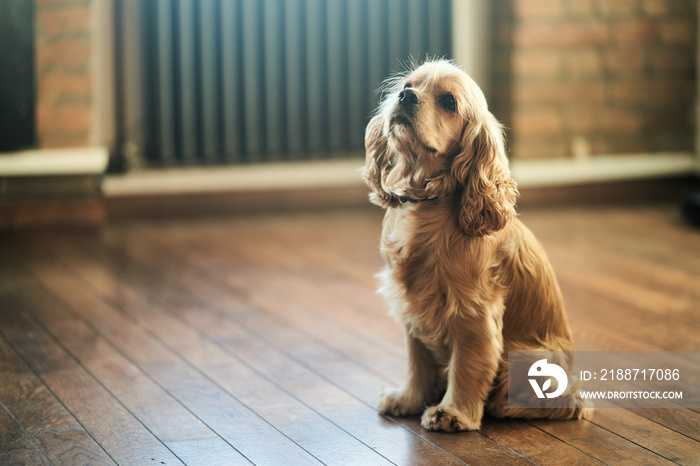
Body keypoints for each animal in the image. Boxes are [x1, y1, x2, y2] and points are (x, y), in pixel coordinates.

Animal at [360, 60, 592, 432]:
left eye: (449, 102)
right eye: (408, 85)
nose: (405, 97)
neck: (428, 204)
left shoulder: (473, 313)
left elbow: (466, 367)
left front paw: (452, 412)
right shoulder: (412, 309)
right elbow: (417, 362)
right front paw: (407, 398)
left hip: (530, 358)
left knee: (570, 404)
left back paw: (507, 407)